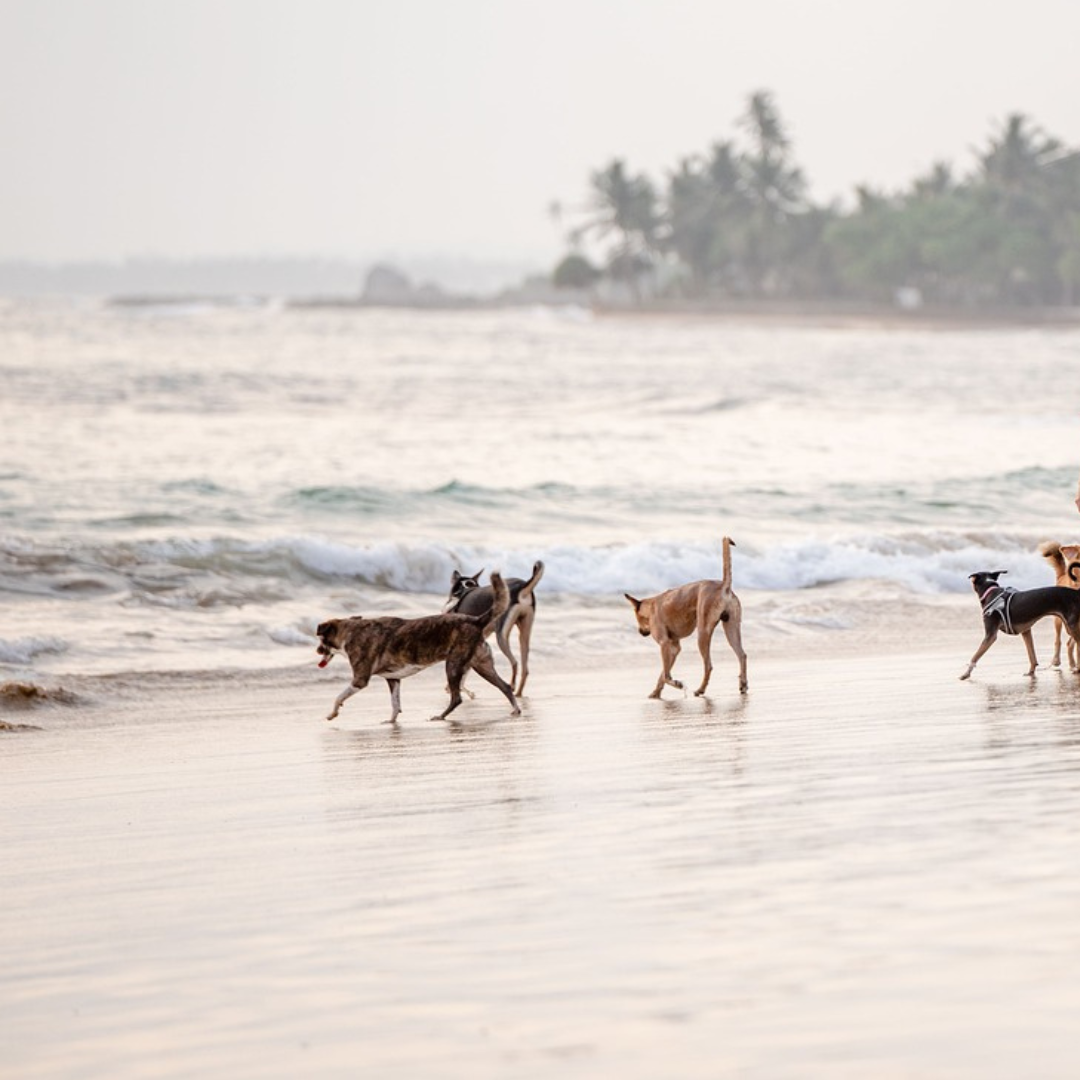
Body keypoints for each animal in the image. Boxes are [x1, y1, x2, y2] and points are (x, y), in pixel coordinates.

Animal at [315, 565, 520, 725]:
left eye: (321, 640)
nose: (317, 651)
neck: (352, 631)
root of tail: (476, 620)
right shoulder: (393, 679)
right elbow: (395, 704)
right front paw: (392, 721)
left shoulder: (360, 680)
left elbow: (339, 697)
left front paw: (332, 714)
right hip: (482, 665)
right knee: (505, 686)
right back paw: (516, 710)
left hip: (453, 665)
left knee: (457, 698)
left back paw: (441, 716)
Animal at [626, 540, 751, 699]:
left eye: (637, 618)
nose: (640, 632)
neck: (652, 605)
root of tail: (724, 586)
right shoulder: (673, 648)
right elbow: (663, 674)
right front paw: (656, 692)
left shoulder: (664, 643)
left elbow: (666, 675)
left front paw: (677, 684)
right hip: (731, 629)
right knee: (742, 655)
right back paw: (743, 684)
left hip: (703, 633)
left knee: (708, 665)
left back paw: (701, 689)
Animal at [1036, 537, 1080, 665]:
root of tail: (1062, 576)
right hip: (1058, 620)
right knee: (1058, 640)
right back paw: (1057, 659)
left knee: (1070, 644)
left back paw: (1073, 664)